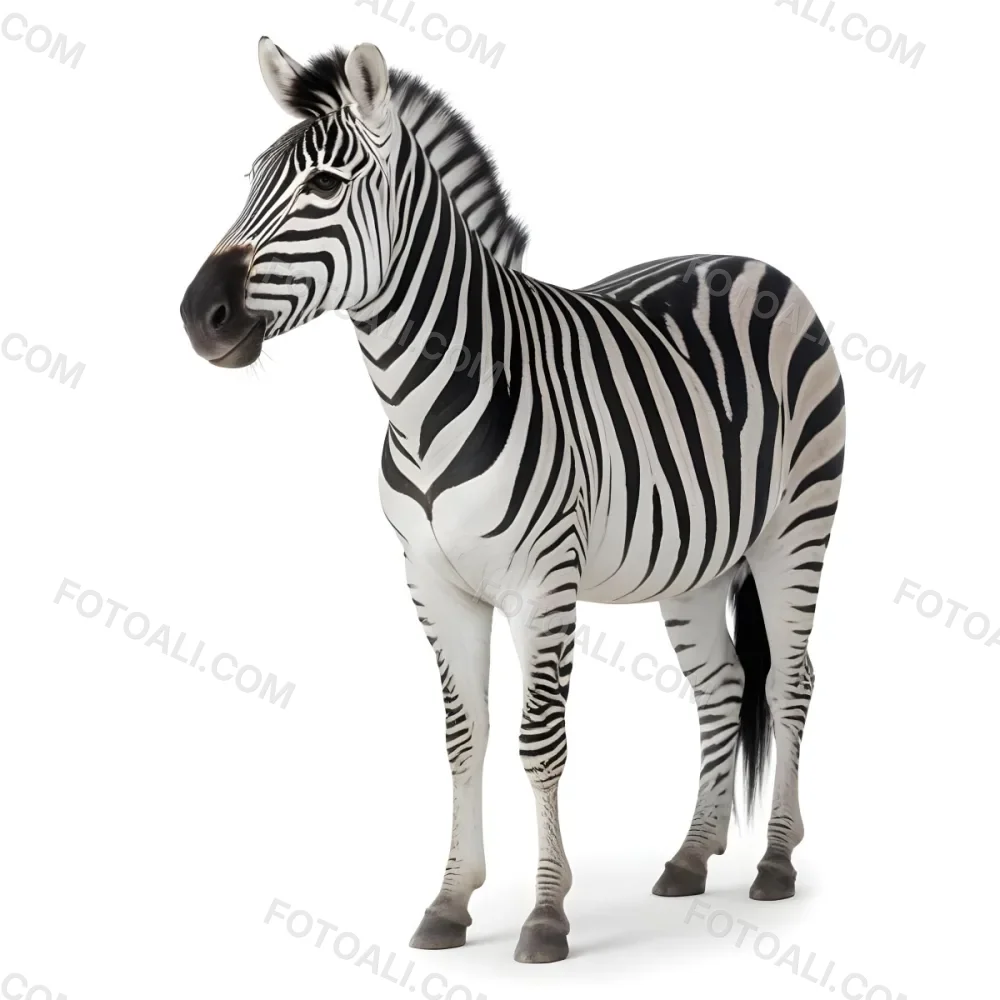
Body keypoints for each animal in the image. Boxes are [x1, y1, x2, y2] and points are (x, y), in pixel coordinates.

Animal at [180, 39, 846, 964]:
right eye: (250, 180)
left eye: (323, 185)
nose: (196, 315)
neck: (420, 403)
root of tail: (749, 261)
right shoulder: (433, 584)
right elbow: (464, 738)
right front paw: (450, 901)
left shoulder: (543, 583)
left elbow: (539, 739)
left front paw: (545, 915)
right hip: (697, 560)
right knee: (722, 685)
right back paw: (691, 855)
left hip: (797, 526)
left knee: (789, 679)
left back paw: (777, 860)